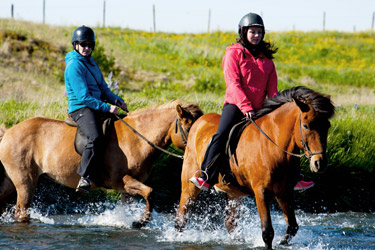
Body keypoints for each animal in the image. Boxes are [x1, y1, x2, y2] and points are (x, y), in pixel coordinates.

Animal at [0, 100, 203, 226]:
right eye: (188, 127)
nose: (199, 153)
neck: (137, 139)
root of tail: (9, 132)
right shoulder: (120, 181)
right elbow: (150, 192)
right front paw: (141, 221)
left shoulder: (126, 188)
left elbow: (134, 202)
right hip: (25, 182)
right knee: (21, 212)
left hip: (11, 181)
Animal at [177, 87, 338, 249]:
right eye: (306, 125)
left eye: (327, 126)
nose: (320, 163)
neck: (274, 148)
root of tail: (199, 122)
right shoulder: (261, 191)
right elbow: (267, 232)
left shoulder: (284, 192)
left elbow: (292, 227)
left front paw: (283, 243)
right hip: (189, 186)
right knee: (181, 217)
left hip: (234, 193)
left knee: (230, 222)